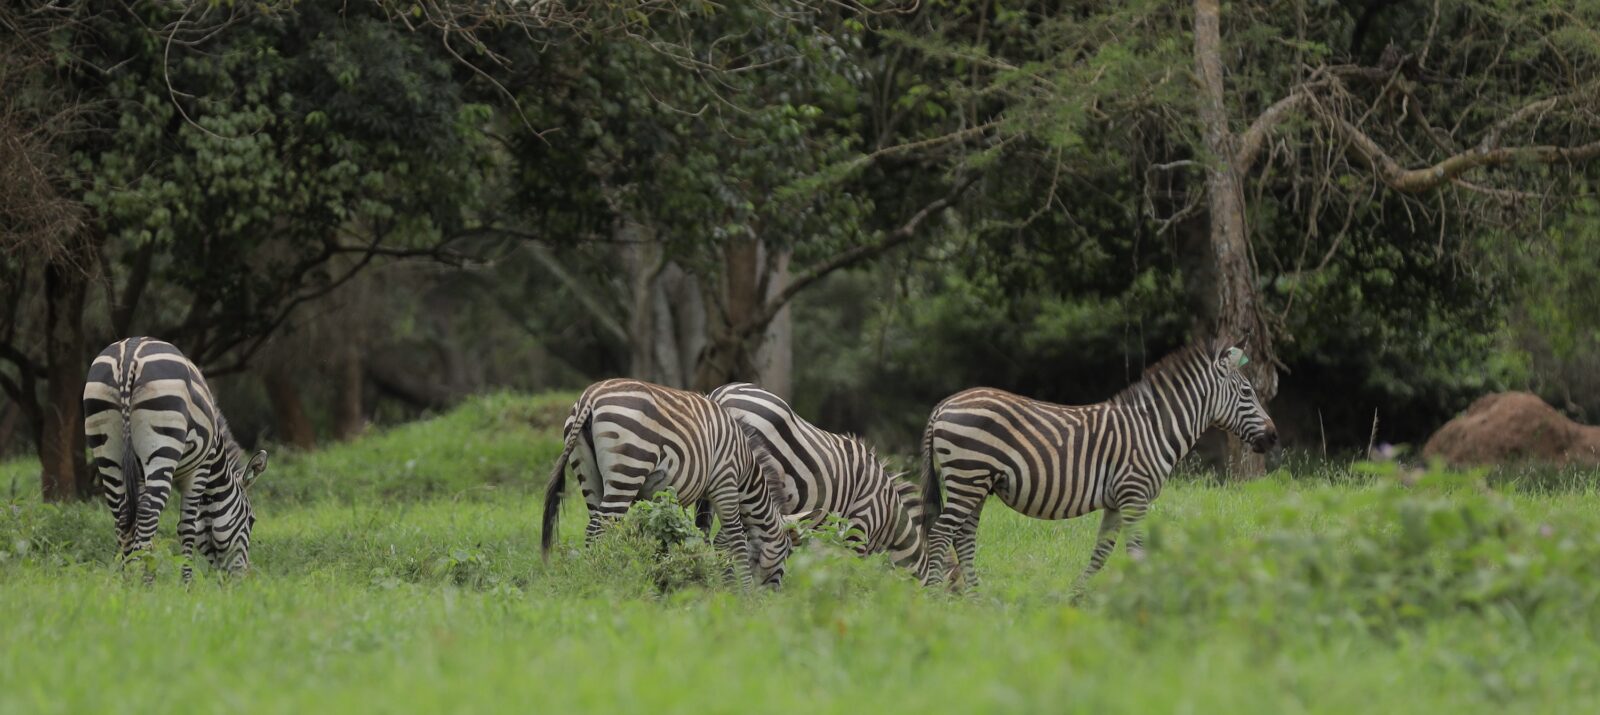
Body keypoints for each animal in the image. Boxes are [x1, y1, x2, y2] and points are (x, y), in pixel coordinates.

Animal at [83, 338, 268, 579]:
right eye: (251, 520)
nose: (243, 578)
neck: (217, 455)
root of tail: (128, 356)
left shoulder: (139, 474)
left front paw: (146, 571)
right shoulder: (200, 468)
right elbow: (188, 527)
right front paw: (186, 582)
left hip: (107, 450)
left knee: (123, 515)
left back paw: (128, 579)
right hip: (163, 444)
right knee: (149, 512)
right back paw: (141, 583)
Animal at [541, 378, 794, 587]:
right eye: (786, 555)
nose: (772, 598)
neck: (747, 472)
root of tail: (589, 397)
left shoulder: (673, 496)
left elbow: (675, 534)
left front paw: (670, 575)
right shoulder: (725, 482)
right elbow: (736, 538)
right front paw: (743, 591)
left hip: (589, 474)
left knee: (592, 527)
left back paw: (593, 575)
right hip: (628, 470)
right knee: (602, 527)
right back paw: (603, 578)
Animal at [919, 337, 1276, 590]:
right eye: (1247, 392)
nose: (1273, 437)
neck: (1152, 429)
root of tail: (943, 404)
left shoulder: (1116, 502)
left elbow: (1102, 553)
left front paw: (1075, 597)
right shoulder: (1135, 495)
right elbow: (1136, 552)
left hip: (976, 484)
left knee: (963, 539)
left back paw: (977, 600)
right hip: (968, 477)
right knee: (940, 535)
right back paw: (936, 598)